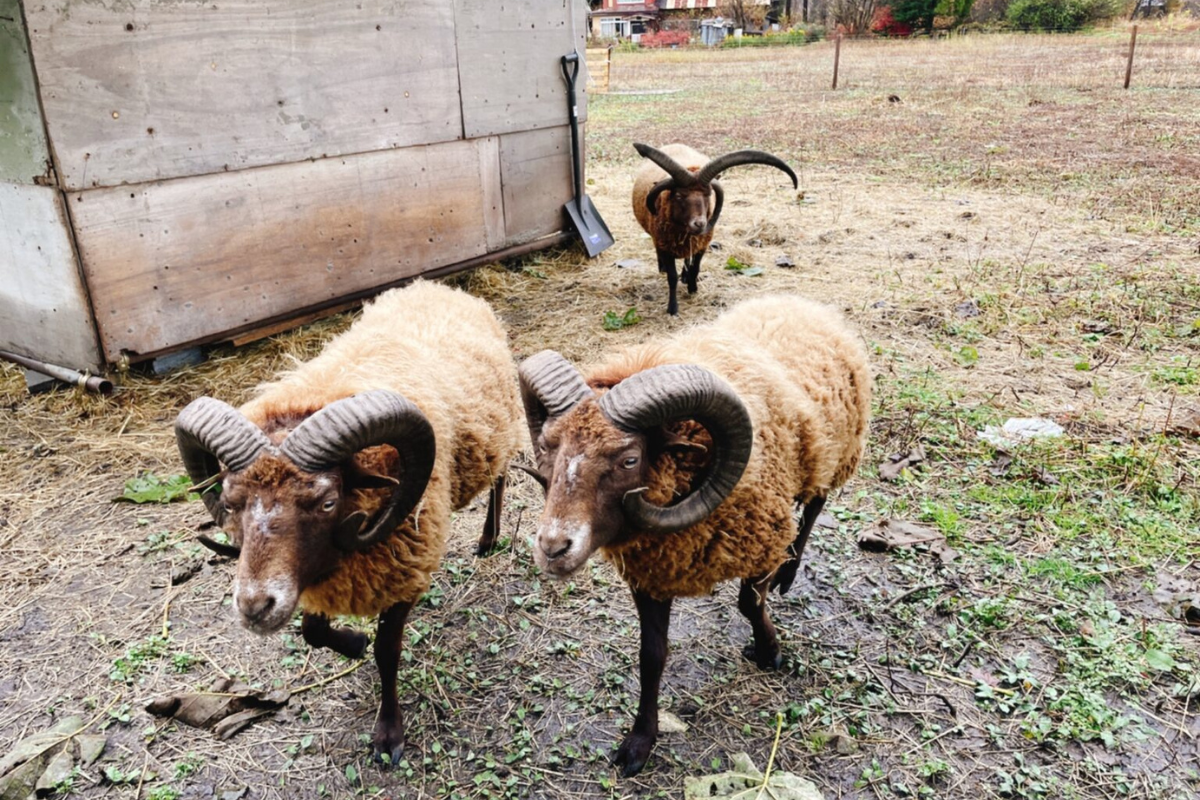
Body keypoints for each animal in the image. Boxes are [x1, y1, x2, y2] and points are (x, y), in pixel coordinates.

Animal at [172, 281, 520, 762]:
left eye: (326, 503)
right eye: (230, 501)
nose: (255, 608)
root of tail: (434, 286)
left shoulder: (403, 573)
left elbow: (387, 654)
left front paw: (389, 733)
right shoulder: (311, 580)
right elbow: (312, 631)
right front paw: (352, 643)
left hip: (497, 429)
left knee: (501, 475)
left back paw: (488, 538)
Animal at [520, 293, 868, 777]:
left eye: (629, 460)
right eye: (548, 447)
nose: (552, 548)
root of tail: (795, 300)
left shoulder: (763, 538)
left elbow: (749, 604)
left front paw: (769, 651)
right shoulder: (651, 573)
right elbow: (652, 655)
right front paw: (639, 741)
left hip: (834, 452)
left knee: (815, 504)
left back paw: (791, 569)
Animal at [633, 143, 801, 316]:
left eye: (707, 195)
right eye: (679, 195)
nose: (699, 224)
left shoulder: (701, 244)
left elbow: (695, 268)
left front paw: (692, 288)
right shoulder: (665, 245)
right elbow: (672, 277)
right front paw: (672, 309)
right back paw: (663, 269)